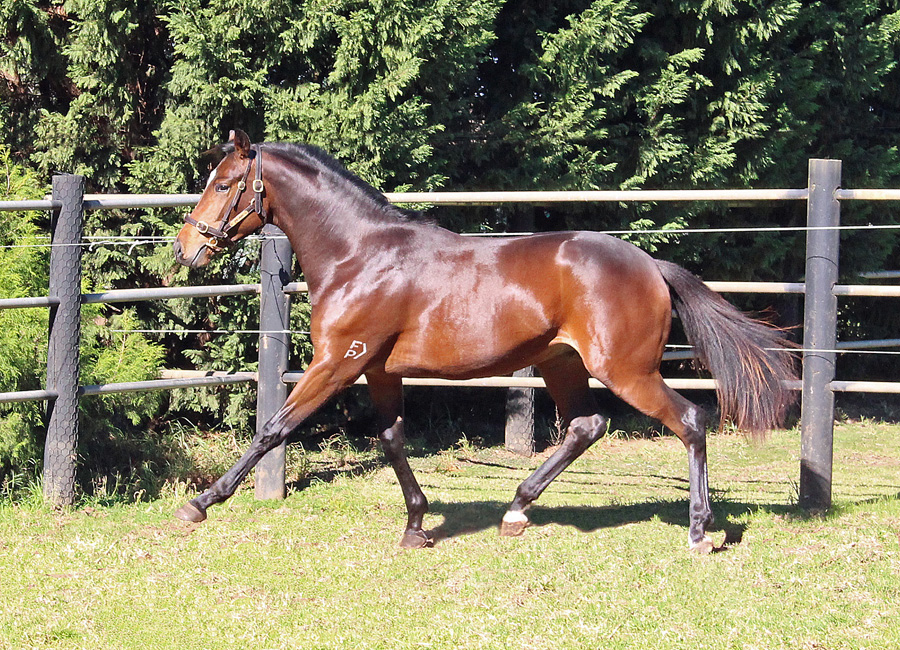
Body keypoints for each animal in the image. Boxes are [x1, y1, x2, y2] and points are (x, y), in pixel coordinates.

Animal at [173, 129, 797, 553]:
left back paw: (699, 531)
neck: (360, 256)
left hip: (626, 371)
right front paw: (416, 527)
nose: (186, 248)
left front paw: (200, 504)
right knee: (587, 426)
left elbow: (272, 429)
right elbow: (392, 439)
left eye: (225, 185)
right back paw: (516, 511)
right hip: (562, 364)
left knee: (690, 421)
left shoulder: (337, 363)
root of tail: (650, 265)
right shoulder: (378, 369)